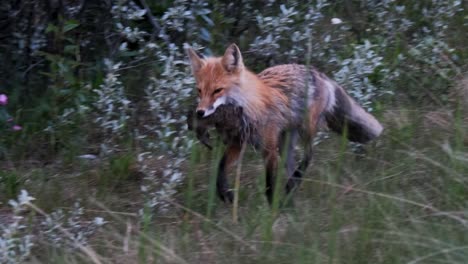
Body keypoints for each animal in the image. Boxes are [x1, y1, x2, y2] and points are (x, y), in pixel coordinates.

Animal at [185, 43, 382, 204]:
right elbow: (220, 167)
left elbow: (270, 186)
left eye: (217, 90)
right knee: (293, 169)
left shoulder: (269, 149)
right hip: (286, 144)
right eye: (199, 90)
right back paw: (292, 196)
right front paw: (224, 193)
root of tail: (319, 73)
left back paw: (292, 187)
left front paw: (272, 214)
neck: (247, 109)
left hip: (305, 129)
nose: (200, 113)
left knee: (309, 155)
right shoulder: (238, 142)